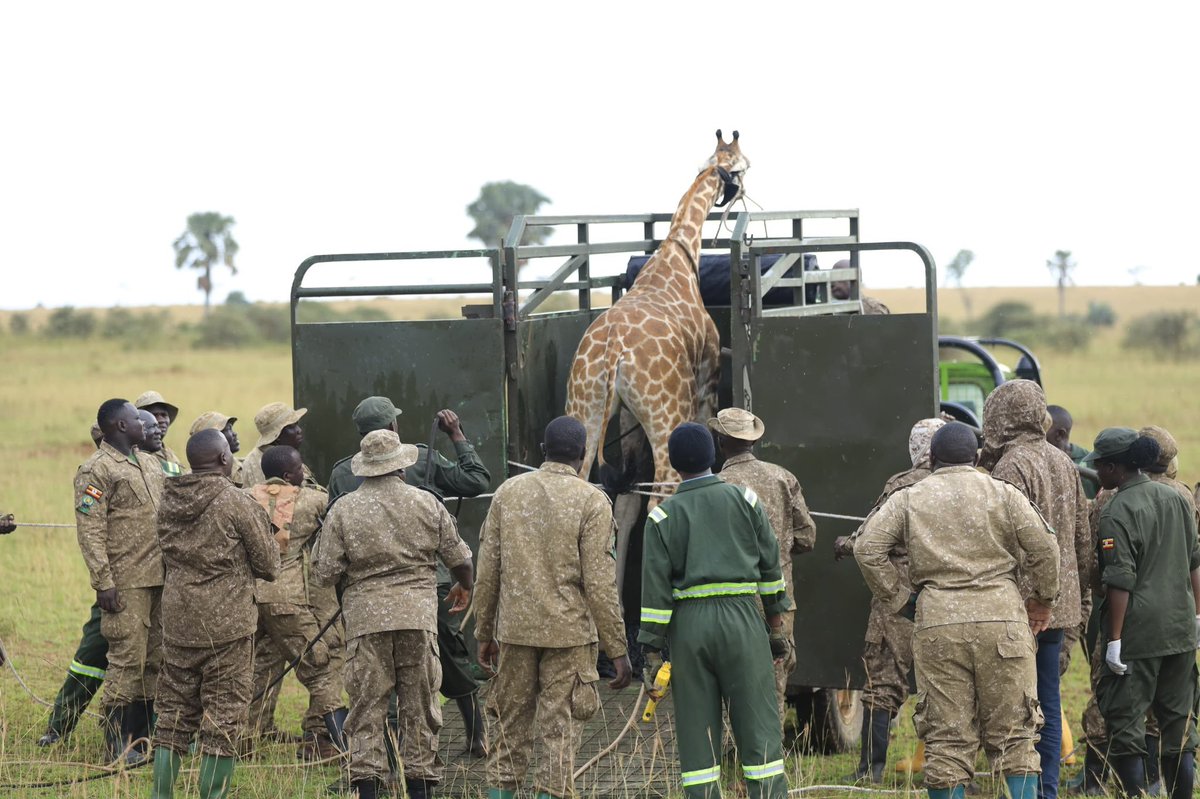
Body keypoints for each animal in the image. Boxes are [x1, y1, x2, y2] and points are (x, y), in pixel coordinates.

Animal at [565, 130, 749, 506]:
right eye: (745, 166)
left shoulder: (626, 417)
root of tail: (612, 352)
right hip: (668, 415)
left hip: (585, 407)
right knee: (662, 490)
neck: (679, 255)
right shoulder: (707, 383)